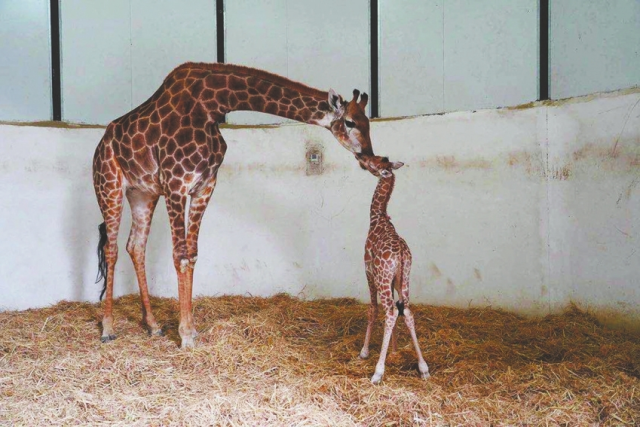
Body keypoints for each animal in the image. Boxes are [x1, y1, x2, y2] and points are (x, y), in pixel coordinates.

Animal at [94, 62, 376, 348]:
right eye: (350, 122)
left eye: (368, 123)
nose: (369, 155)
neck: (211, 106)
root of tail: (101, 144)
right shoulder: (176, 184)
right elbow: (180, 256)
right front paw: (185, 336)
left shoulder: (204, 186)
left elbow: (192, 255)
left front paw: (191, 330)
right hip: (109, 186)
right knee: (111, 248)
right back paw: (108, 328)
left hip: (143, 193)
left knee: (135, 246)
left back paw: (152, 325)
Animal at [356, 154, 430, 384]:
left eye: (374, 162)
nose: (361, 159)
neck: (377, 217)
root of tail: (401, 255)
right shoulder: (392, 280)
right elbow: (399, 311)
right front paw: (394, 350)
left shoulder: (369, 271)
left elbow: (373, 309)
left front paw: (364, 352)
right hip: (405, 278)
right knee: (406, 310)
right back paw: (423, 368)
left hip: (383, 279)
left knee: (389, 311)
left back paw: (377, 372)